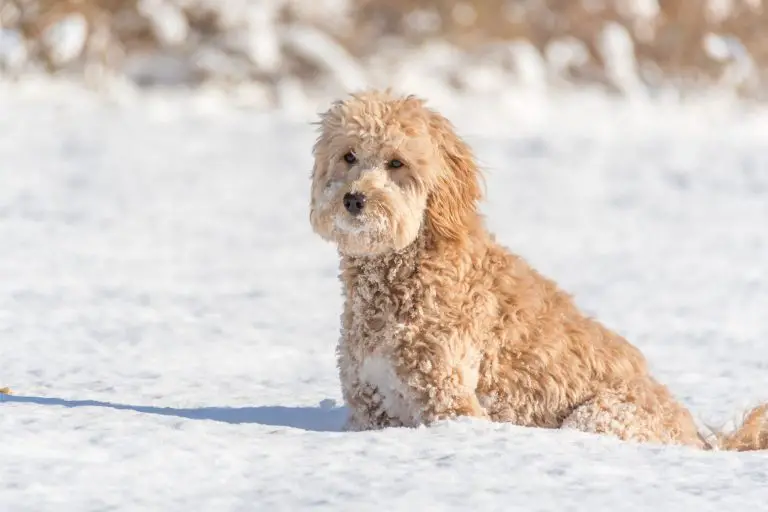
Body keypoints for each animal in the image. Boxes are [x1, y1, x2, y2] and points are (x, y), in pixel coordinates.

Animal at [308, 90, 764, 450]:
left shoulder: (449, 398)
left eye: (397, 163)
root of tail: (697, 439)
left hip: (598, 414)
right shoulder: (370, 403)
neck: (402, 273)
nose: (354, 200)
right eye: (349, 156)